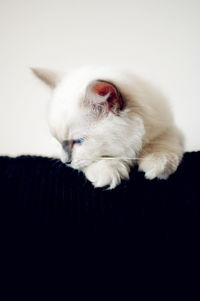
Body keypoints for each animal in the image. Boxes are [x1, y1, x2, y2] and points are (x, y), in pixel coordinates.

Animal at [32, 66, 184, 188]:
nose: (66, 162)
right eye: (58, 142)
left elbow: (162, 142)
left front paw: (158, 164)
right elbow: (94, 161)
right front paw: (109, 172)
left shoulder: (166, 128)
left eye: (79, 141)